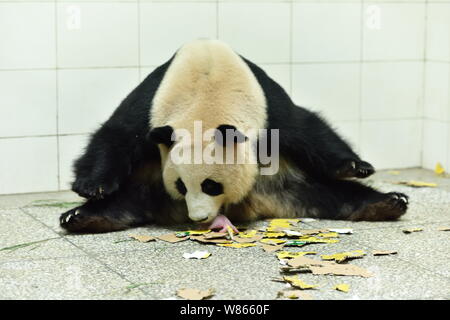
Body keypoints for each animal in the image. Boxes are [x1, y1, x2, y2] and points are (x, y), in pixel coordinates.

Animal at [59, 40, 408, 234]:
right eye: (181, 185)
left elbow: (309, 130)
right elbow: (116, 135)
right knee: (130, 199)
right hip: (153, 183)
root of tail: (257, 205)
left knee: (330, 192)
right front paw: (92, 186)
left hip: (284, 181)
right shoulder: (151, 104)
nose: (199, 216)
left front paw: (356, 166)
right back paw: (82, 217)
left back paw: (388, 203)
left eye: (211, 185)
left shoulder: (269, 108)